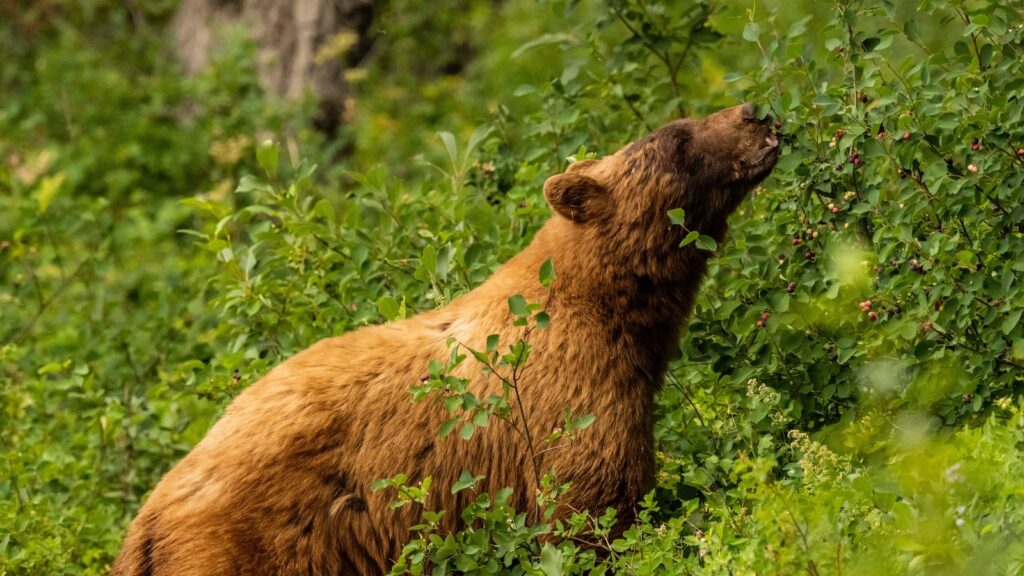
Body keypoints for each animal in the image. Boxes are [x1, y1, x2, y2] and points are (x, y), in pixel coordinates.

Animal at [112, 100, 778, 569]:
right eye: (677, 136)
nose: (755, 112)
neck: (615, 314)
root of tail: (148, 519)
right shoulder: (571, 407)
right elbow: (591, 513)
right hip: (256, 541)